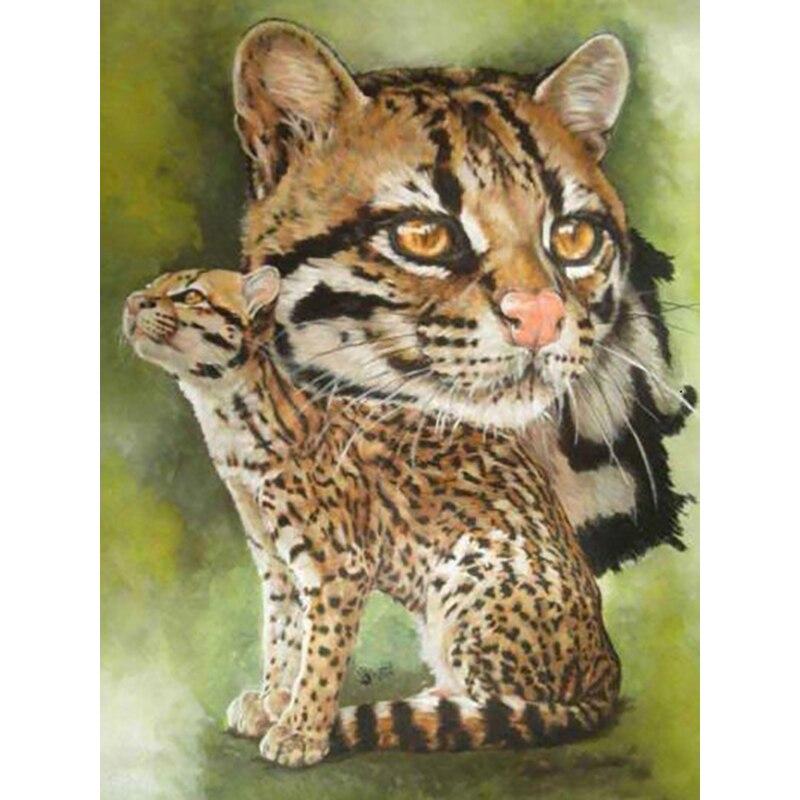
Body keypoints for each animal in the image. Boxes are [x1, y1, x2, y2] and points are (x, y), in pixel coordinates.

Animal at [124, 265, 620, 767]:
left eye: (190, 295)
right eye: (152, 287)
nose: (131, 303)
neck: (230, 424)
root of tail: (609, 667)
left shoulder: (338, 568)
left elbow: (320, 654)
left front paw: (302, 729)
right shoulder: (278, 568)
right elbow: (282, 638)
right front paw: (274, 701)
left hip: (468, 566)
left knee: (516, 708)